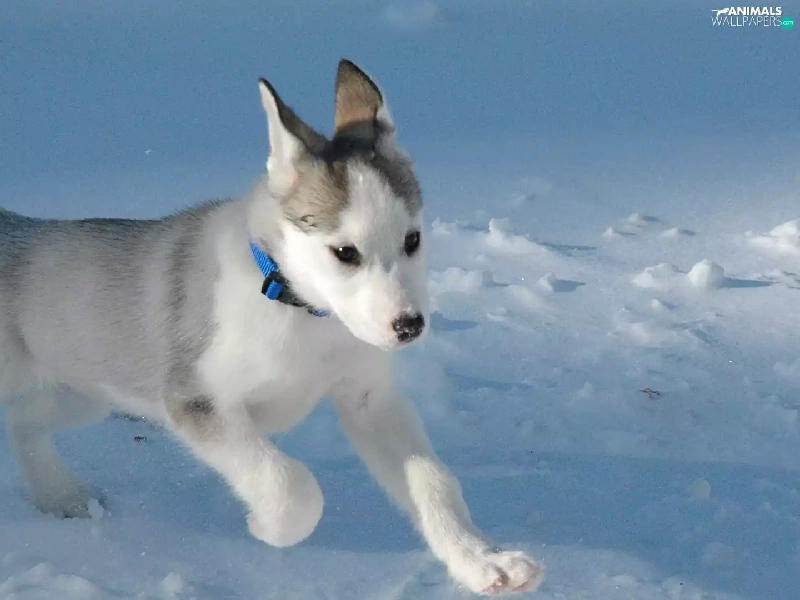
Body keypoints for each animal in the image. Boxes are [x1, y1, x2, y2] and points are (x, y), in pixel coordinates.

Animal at [0, 59, 543, 596]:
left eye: (412, 240)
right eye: (344, 252)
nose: (409, 326)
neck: (297, 307)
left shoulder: (370, 400)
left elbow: (433, 482)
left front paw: (483, 561)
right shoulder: (197, 401)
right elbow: (291, 484)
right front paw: (268, 527)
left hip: (82, 390)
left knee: (24, 422)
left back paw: (60, 497)